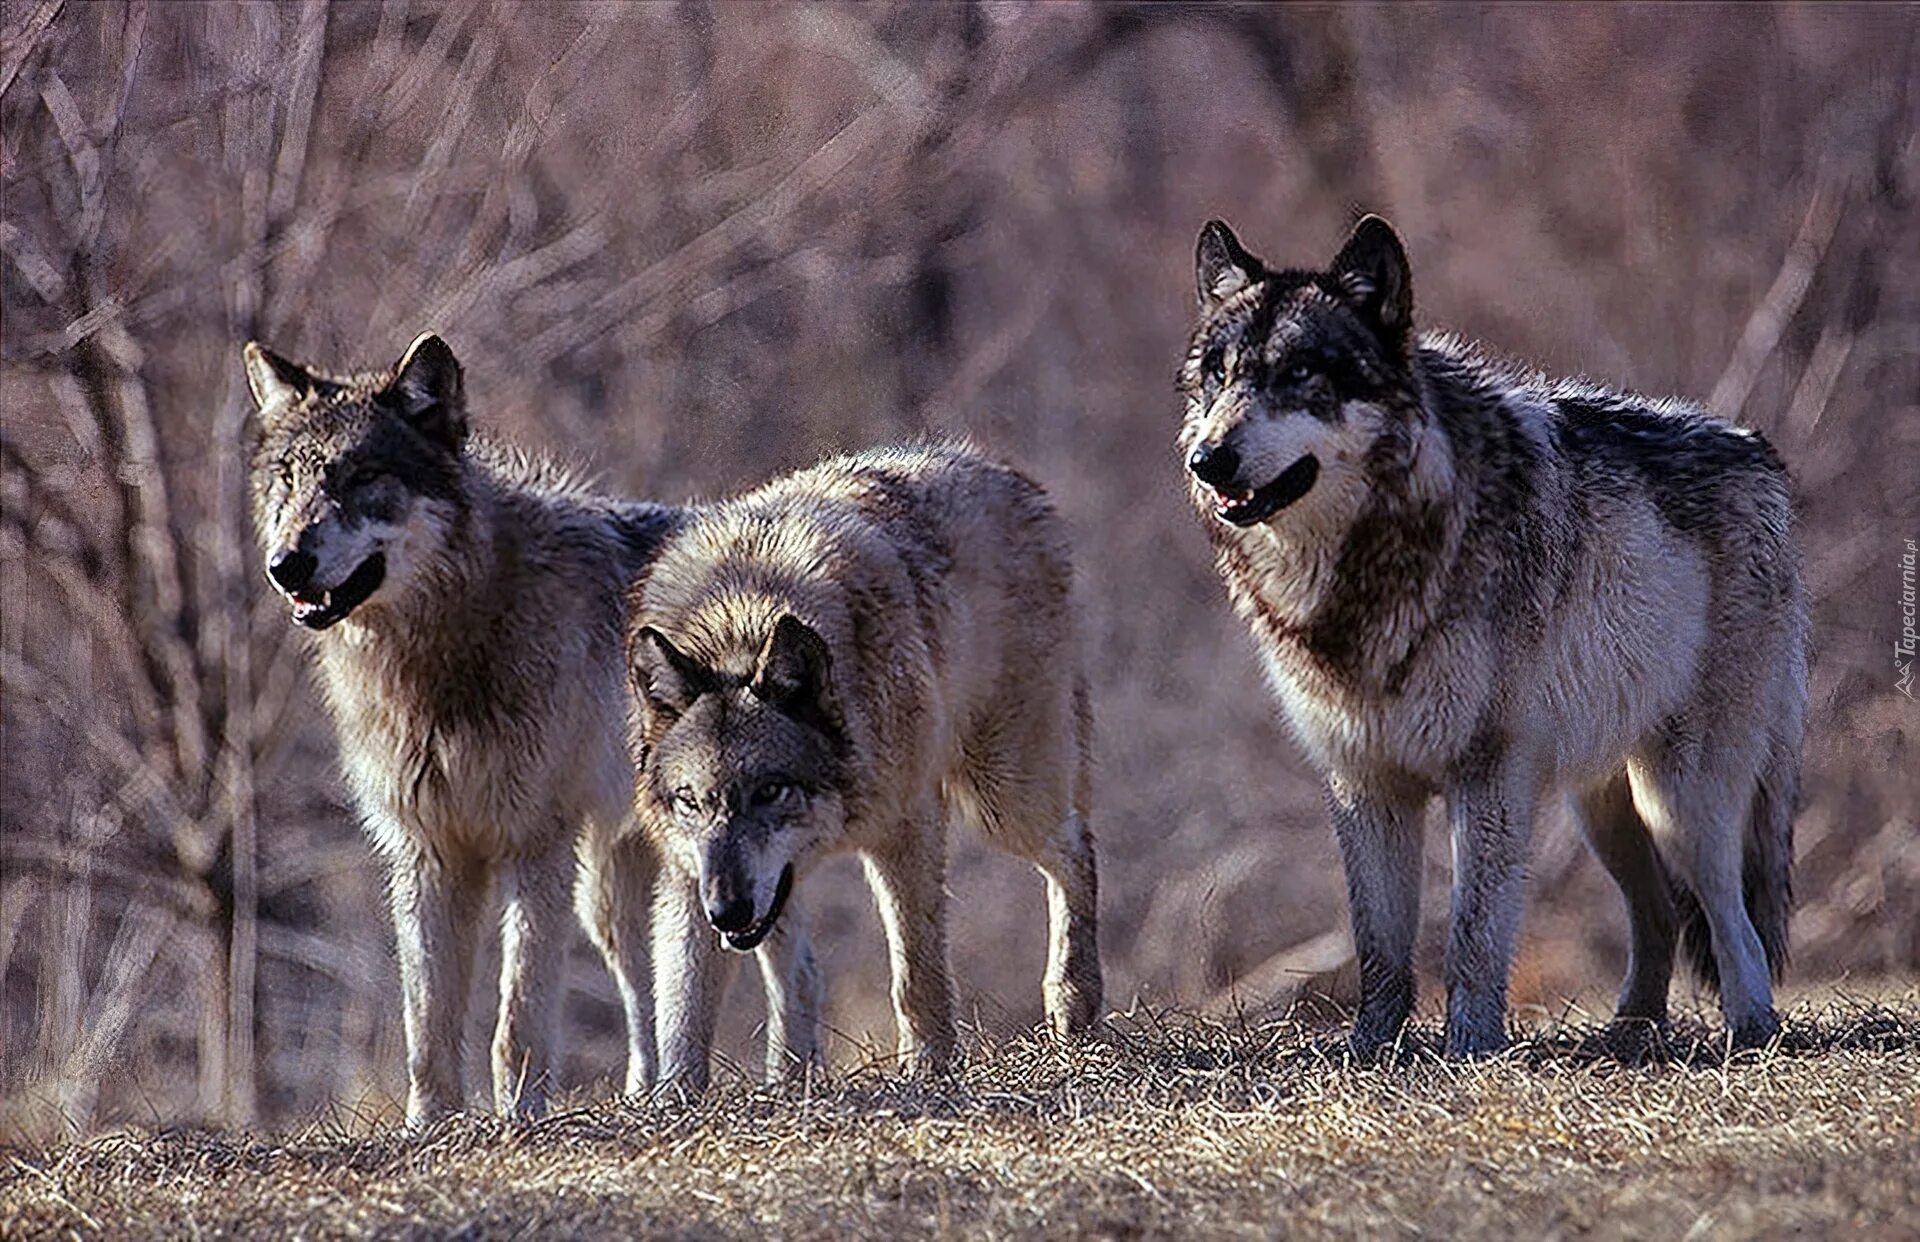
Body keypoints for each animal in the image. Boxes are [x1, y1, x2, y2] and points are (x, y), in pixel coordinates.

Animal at [241, 332, 810, 1128]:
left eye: (362, 477)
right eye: (288, 479)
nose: (286, 564)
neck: (445, 657)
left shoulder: (532, 844)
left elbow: (517, 1016)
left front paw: (520, 1117)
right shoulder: (426, 851)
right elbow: (427, 1023)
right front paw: (430, 1127)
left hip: (725, 869)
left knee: (795, 960)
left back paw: (793, 1082)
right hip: (613, 894)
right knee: (648, 989)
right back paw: (648, 1095)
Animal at [625, 441, 1105, 1082]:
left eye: (769, 791)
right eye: (690, 801)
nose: (726, 911)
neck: (739, 624)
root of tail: (1006, 474)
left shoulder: (905, 829)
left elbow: (915, 977)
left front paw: (929, 1070)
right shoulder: (688, 873)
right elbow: (681, 1011)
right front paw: (672, 1097)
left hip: (1002, 797)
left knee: (1077, 849)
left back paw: (1074, 1001)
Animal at [1175, 218, 1804, 1051]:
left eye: (1300, 373)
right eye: (1217, 376)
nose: (1207, 459)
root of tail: (1758, 451)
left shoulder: (1489, 774)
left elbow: (1472, 935)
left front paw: (1469, 1047)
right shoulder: (1364, 782)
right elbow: (1379, 947)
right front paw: (1371, 1049)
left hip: (1683, 797)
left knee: (1735, 920)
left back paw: (1749, 1028)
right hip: (1603, 808)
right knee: (1661, 912)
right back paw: (1628, 1034)